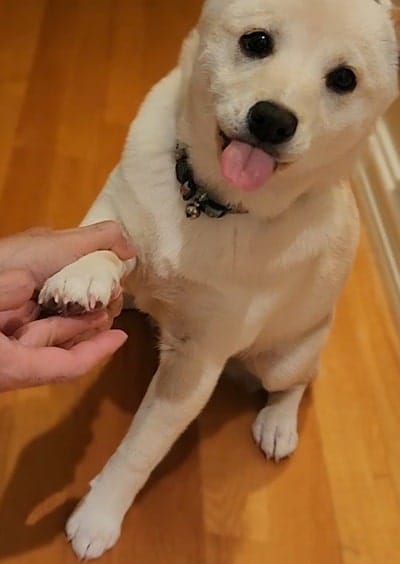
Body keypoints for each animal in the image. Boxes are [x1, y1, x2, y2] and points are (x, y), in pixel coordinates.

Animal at [39, 0, 398, 556]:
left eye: (344, 79)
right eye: (256, 42)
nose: (272, 120)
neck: (207, 202)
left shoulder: (194, 366)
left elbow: (140, 451)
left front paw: (99, 517)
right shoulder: (118, 210)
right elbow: (102, 238)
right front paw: (83, 272)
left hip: (284, 358)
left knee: (299, 382)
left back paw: (277, 425)